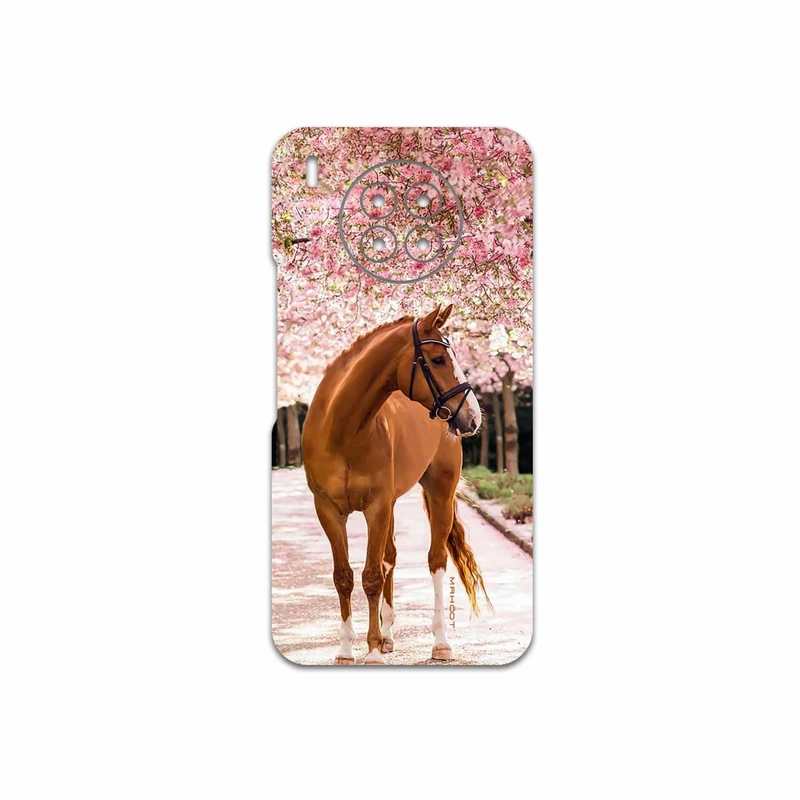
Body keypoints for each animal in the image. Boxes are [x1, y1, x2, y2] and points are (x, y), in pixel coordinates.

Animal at [301, 303, 491, 664]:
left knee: (435, 561)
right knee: (390, 557)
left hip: (439, 494)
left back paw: (440, 643)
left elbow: (371, 576)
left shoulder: (376, 507)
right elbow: (344, 577)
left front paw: (373, 650)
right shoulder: (329, 510)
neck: (343, 431)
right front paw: (346, 649)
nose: (473, 417)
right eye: (438, 359)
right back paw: (389, 636)